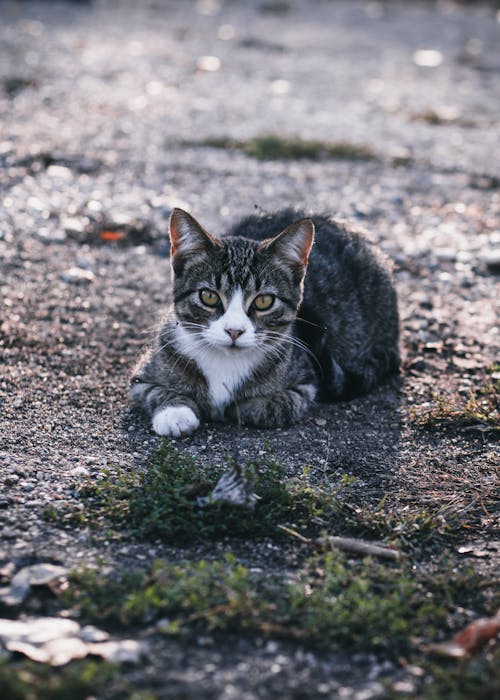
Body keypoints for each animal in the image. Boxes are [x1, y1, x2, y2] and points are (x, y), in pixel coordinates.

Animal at [131, 206, 400, 438]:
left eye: (263, 301)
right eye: (209, 296)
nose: (234, 330)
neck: (224, 363)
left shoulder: (305, 384)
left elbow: (272, 407)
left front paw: (233, 407)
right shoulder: (141, 376)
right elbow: (155, 392)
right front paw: (175, 413)